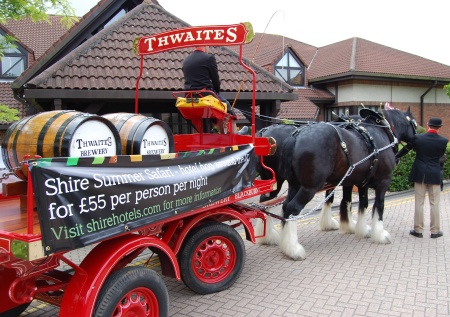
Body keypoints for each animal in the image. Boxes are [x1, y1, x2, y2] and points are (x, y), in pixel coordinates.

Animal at [262, 107, 416, 260]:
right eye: (414, 124)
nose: (414, 143)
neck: (380, 130)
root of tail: (296, 136)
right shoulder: (383, 181)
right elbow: (378, 206)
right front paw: (380, 234)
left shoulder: (360, 183)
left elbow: (361, 204)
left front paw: (359, 229)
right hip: (309, 187)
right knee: (292, 208)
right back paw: (293, 249)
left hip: (292, 184)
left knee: (275, 204)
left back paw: (276, 240)